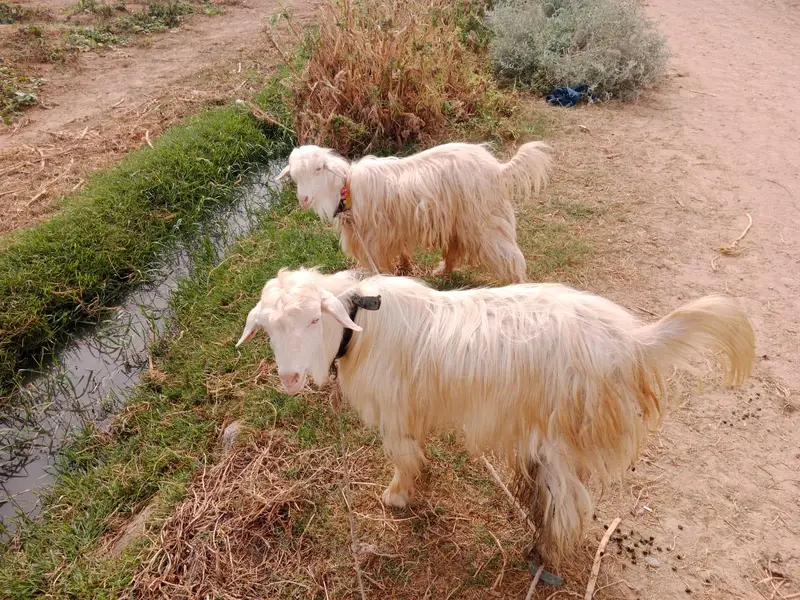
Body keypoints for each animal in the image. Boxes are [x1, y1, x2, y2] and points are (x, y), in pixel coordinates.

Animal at [236, 268, 755, 564]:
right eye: (270, 329)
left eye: (312, 319)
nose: (290, 378)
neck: (362, 326)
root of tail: (635, 341)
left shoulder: (395, 413)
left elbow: (403, 458)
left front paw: (397, 497)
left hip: (563, 432)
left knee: (571, 505)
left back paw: (545, 553)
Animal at [275, 142, 552, 283]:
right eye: (294, 176)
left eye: (318, 169)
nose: (303, 199)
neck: (347, 188)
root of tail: (499, 169)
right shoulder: (391, 233)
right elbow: (401, 254)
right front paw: (405, 267)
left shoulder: (373, 241)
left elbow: (380, 268)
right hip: (458, 221)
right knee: (454, 249)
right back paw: (442, 272)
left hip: (485, 221)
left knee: (510, 257)